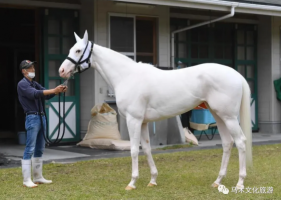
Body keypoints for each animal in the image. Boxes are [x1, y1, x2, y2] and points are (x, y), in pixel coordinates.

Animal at [58, 30, 252, 190]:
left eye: (77, 51)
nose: (62, 70)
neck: (127, 76)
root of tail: (236, 74)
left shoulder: (134, 120)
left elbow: (134, 150)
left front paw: (132, 183)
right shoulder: (143, 122)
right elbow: (147, 149)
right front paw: (152, 180)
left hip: (229, 117)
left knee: (241, 142)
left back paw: (240, 182)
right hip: (219, 116)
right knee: (227, 143)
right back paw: (217, 181)